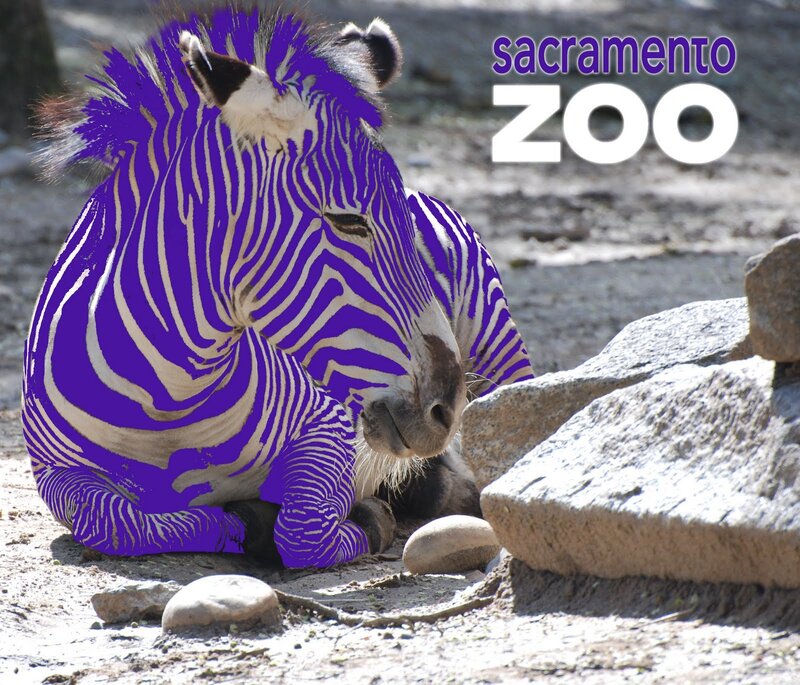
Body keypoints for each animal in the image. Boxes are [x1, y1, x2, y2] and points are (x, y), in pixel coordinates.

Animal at [24, 6, 532, 567]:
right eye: (348, 220)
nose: (448, 408)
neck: (169, 401)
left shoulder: (327, 427)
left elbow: (302, 529)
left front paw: (357, 520)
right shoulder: (56, 474)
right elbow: (116, 523)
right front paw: (232, 523)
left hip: (496, 346)